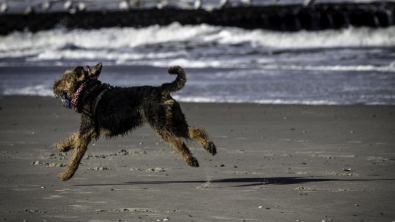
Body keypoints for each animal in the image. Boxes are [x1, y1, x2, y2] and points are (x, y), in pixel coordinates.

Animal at [52, 62, 217, 180]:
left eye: (67, 79)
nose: (54, 86)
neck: (87, 91)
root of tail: (161, 89)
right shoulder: (90, 131)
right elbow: (73, 139)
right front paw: (61, 146)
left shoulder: (87, 131)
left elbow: (76, 157)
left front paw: (66, 175)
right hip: (174, 122)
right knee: (196, 132)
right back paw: (210, 147)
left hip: (160, 125)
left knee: (179, 143)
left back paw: (191, 161)